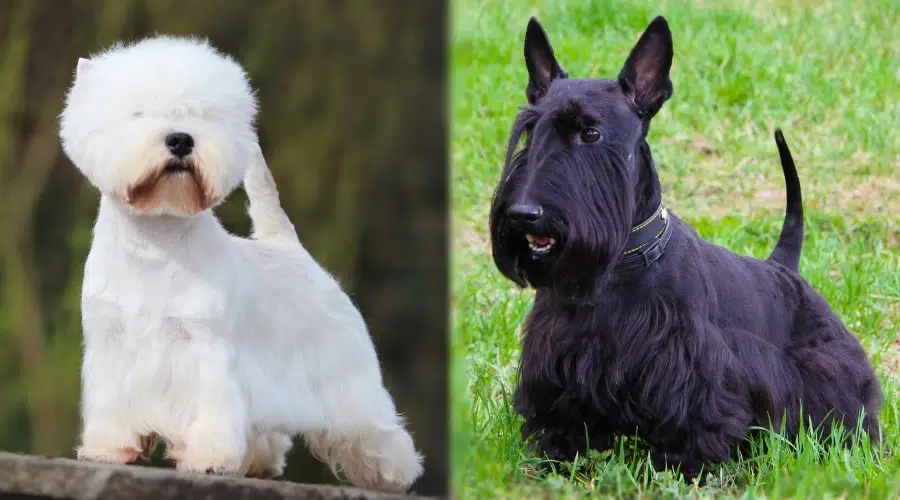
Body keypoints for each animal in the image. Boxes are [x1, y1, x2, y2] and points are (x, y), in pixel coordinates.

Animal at [58, 35, 424, 492]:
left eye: (201, 114)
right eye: (138, 113)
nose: (181, 140)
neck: (156, 245)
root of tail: (289, 246)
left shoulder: (206, 348)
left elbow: (212, 410)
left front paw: (209, 459)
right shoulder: (110, 343)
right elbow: (112, 406)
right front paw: (108, 449)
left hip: (349, 384)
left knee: (376, 431)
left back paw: (394, 474)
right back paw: (257, 463)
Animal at [488, 17, 884, 482]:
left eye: (591, 133)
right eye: (531, 131)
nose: (523, 214)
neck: (619, 267)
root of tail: (785, 268)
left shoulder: (691, 369)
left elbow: (695, 420)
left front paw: (684, 470)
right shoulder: (558, 357)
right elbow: (559, 414)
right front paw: (557, 457)